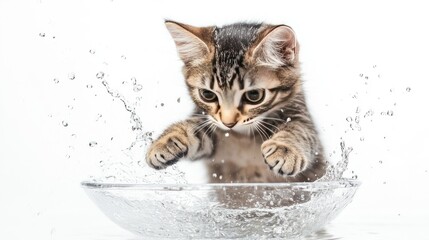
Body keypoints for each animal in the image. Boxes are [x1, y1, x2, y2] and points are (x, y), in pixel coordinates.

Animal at [145, 20, 326, 183]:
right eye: (207, 94)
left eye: (254, 95)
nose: (229, 123)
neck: (244, 136)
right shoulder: (212, 135)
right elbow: (191, 129)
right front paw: (166, 141)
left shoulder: (300, 115)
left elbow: (298, 130)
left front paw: (284, 149)